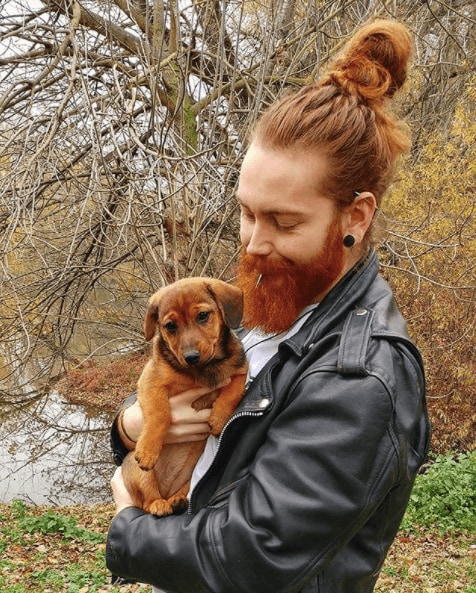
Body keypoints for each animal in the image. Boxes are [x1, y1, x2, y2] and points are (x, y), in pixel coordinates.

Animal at [121, 278, 247, 512]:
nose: (191, 357)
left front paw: (219, 418)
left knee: (181, 491)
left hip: (191, 475)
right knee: (147, 501)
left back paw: (178, 500)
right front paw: (148, 449)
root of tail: (166, 491)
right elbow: (160, 413)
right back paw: (159, 504)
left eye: (203, 316)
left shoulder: (241, 371)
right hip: (137, 472)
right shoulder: (150, 382)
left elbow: (233, 390)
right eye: (170, 326)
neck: (203, 369)